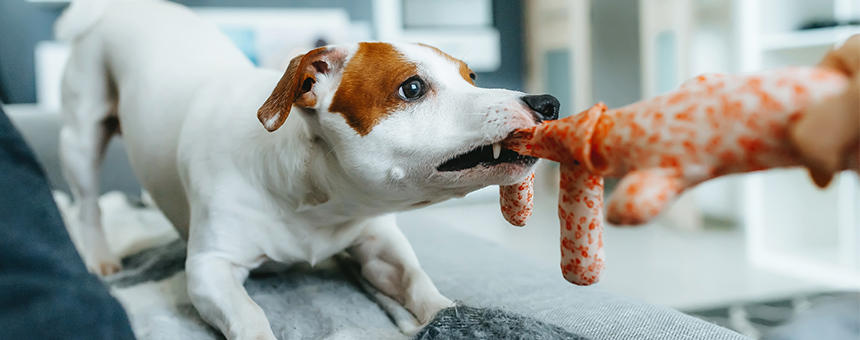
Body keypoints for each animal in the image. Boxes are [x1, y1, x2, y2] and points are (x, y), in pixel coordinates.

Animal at [57, 0, 560, 338]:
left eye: (472, 77)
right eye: (413, 87)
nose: (548, 102)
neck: (316, 195)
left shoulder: (380, 244)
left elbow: (419, 285)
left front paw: (447, 314)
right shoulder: (208, 269)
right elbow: (249, 316)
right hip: (80, 138)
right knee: (86, 203)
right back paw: (100, 257)